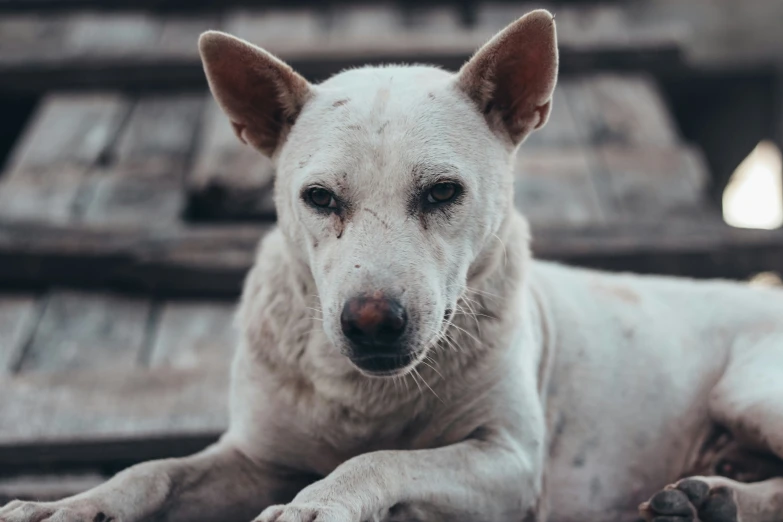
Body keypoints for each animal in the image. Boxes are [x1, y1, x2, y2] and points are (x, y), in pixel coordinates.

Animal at [1, 9, 783, 520]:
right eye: (319, 198)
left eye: (442, 192)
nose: (372, 323)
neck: (365, 396)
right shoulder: (254, 458)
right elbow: (155, 469)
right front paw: (72, 505)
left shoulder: (507, 461)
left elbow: (380, 459)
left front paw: (317, 505)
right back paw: (711, 490)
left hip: (750, 390)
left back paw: (714, 499)